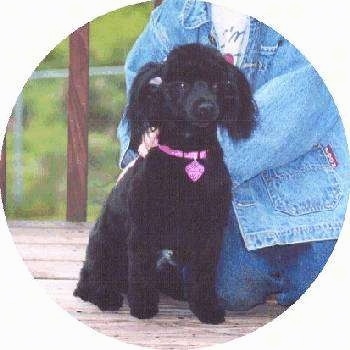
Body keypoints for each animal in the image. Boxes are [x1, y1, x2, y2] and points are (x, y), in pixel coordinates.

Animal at [74, 43, 256, 326]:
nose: (206, 106)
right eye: (180, 84)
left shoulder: (209, 232)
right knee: (88, 284)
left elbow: (203, 277)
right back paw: (107, 297)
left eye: (217, 84)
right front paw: (143, 308)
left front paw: (207, 309)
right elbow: (141, 274)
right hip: (104, 252)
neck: (188, 157)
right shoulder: (142, 231)